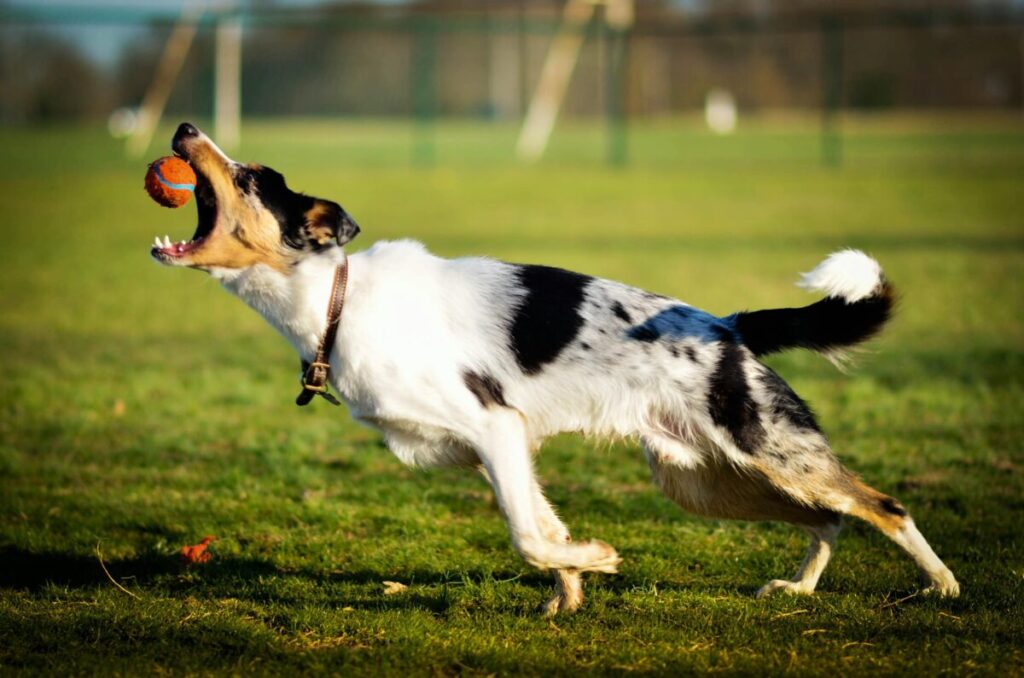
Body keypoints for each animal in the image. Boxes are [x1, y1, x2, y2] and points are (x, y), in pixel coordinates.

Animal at [153, 123, 958, 614]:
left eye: (249, 179)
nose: (186, 129)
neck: (335, 301)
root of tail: (728, 327)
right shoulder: (502, 447)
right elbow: (543, 526)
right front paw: (572, 588)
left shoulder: (494, 427)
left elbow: (528, 534)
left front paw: (598, 560)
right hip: (706, 482)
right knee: (831, 516)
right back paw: (798, 588)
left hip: (766, 453)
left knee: (884, 507)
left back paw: (942, 588)